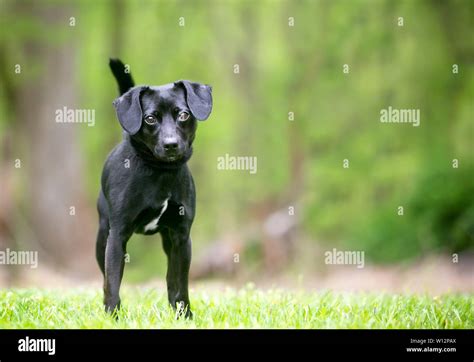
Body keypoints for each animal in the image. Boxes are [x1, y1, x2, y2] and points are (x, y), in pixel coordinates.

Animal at [95, 58, 212, 316]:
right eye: (150, 118)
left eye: (183, 115)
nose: (171, 144)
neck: (161, 173)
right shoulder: (117, 236)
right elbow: (112, 283)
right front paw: (113, 316)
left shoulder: (181, 236)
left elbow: (180, 283)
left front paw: (184, 314)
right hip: (101, 237)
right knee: (104, 276)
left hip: (168, 242)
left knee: (170, 279)